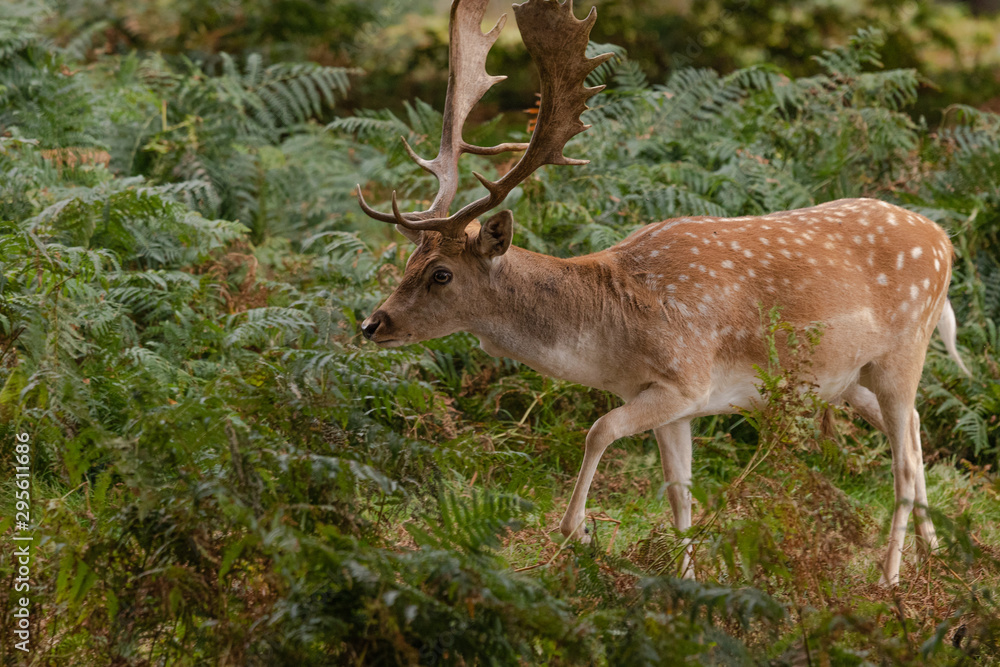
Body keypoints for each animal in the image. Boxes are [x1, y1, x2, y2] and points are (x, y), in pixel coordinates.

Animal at [355, 0, 970, 586]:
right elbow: (679, 495)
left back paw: (890, 578)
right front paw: (687, 582)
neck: (612, 334)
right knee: (916, 436)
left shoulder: (685, 378)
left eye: (441, 273)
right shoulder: (673, 403)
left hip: (903, 352)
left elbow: (598, 430)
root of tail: (944, 240)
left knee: (903, 458)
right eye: (409, 259)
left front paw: (576, 530)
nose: (372, 324)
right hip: (848, 379)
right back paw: (934, 554)